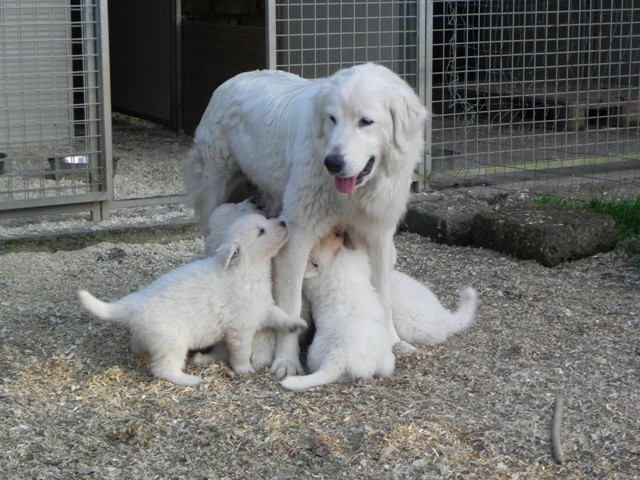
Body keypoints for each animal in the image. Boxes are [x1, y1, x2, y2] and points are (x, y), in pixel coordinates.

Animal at [78, 214, 307, 386]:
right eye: (261, 231)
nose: (283, 222)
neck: (247, 269)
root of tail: (132, 306)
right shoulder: (240, 329)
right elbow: (242, 352)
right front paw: (245, 369)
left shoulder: (262, 306)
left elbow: (279, 315)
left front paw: (295, 324)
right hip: (172, 341)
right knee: (163, 369)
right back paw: (189, 380)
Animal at [281, 232, 396, 391]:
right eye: (325, 239)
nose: (338, 232)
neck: (328, 266)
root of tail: (338, 356)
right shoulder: (357, 257)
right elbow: (360, 245)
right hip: (384, 361)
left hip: (317, 358)